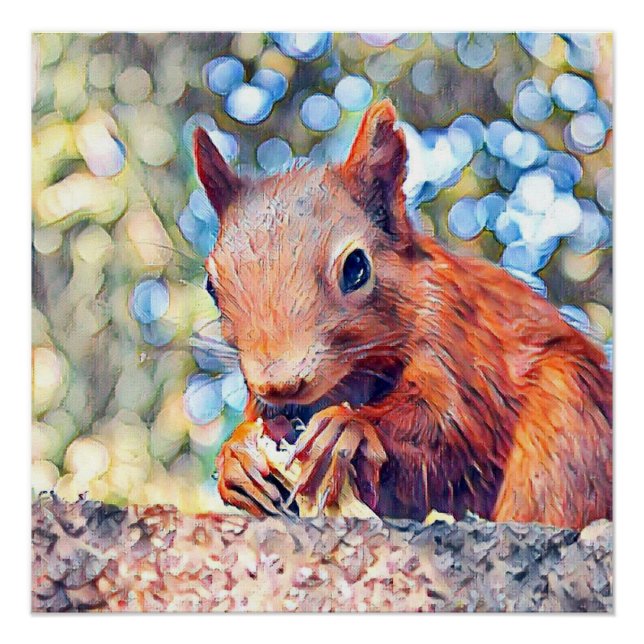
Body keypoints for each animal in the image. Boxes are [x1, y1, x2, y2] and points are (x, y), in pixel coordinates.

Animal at [193, 100, 612, 529]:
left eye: (356, 267)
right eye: (211, 285)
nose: (279, 384)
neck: (353, 376)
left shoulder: (453, 337)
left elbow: (451, 427)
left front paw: (351, 427)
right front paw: (237, 455)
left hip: (568, 417)